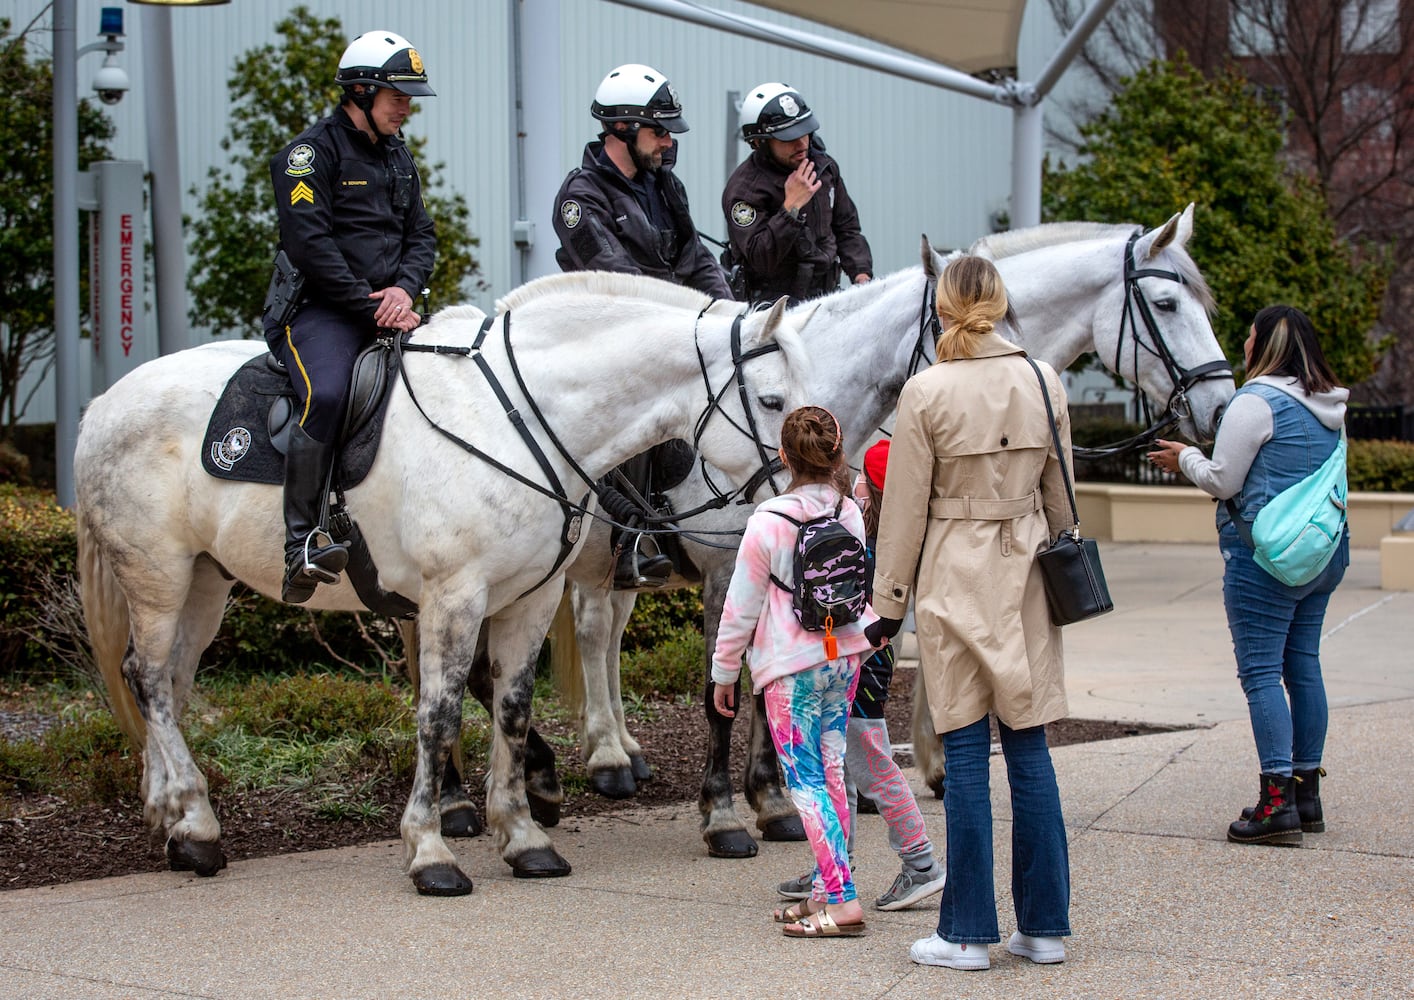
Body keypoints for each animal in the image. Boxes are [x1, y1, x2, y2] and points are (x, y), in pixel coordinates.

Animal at [77, 270, 814, 893]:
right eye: (772, 399)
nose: (815, 490)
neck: (517, 419)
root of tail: (104, 401)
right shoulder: (454, 597)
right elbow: (440, 713)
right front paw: (430, 850)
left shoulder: (531, 600)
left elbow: (513, 710)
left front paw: (523, 838)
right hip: (158, 574)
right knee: (149, 677)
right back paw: (197, 825)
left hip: (205, 582)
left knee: (169, 681)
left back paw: (171, 817)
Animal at [545, 207, 1233, 854]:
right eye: (1167, 304)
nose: (1222, 407)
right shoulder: (731, 574)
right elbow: (732, 692)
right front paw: (729, 815)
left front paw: (786, 797)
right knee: (591, 629)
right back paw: (599, 762)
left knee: (607, 634)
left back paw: (622, 750)